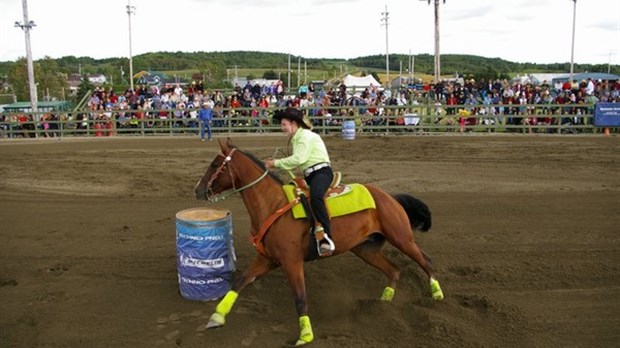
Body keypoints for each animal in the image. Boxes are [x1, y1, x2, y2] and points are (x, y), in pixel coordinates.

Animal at [196, 138, 444, 346]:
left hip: (402, 238)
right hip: (365, 249)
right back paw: (383, 303)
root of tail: (389, 197)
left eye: (216, 164)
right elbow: (239, 283)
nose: (198, 190)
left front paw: (305, 335)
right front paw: (216, 317)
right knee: (394, 269)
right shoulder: (267, 259)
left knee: (426, 260)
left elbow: (300, 297)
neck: (274, 204)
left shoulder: (291, 261)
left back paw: (436, 295)